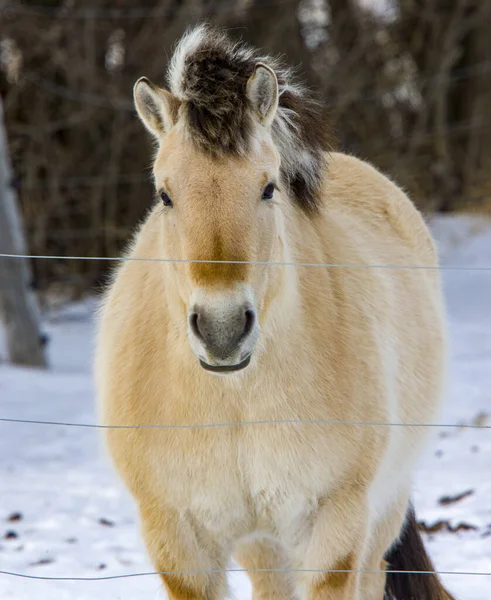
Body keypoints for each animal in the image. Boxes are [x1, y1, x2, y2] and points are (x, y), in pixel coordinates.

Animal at [96, 22, 458, 600]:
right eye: (165, 194)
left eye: (268, 187)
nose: (222, 330)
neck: (235, 401)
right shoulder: (179, 543)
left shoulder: (332, 532)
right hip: (262, 544)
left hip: (380, 513)